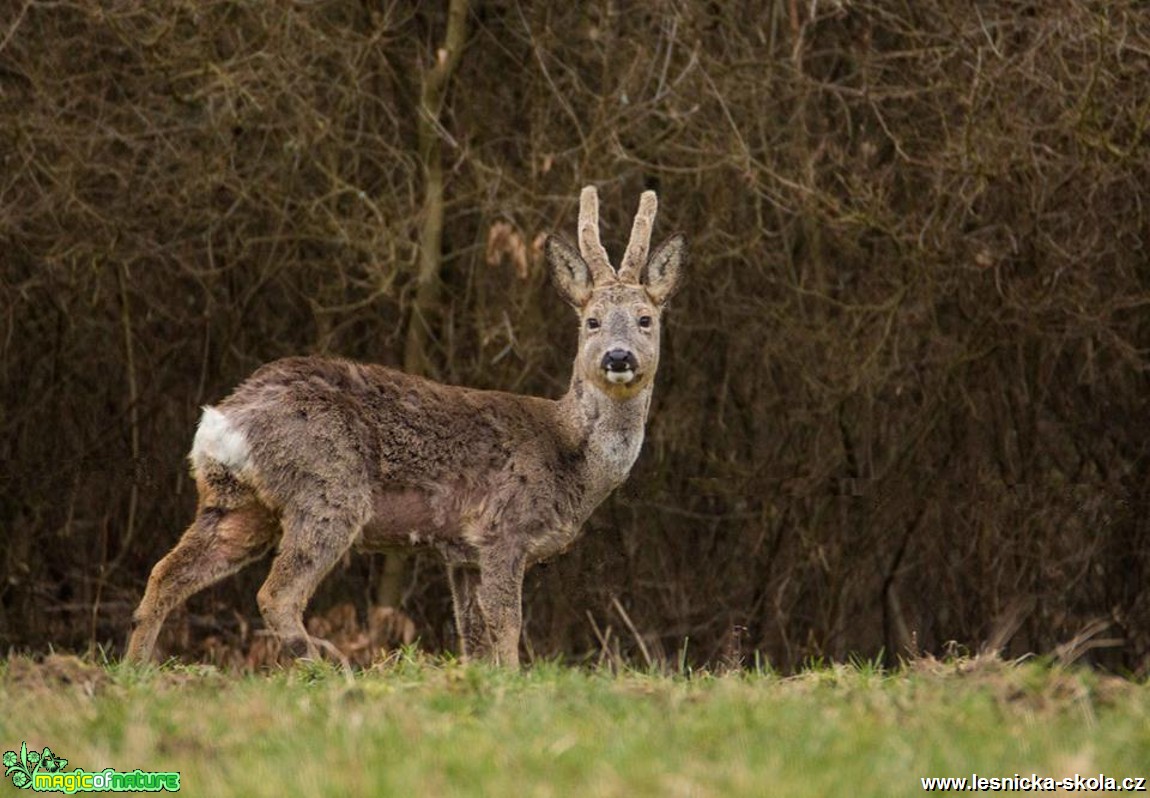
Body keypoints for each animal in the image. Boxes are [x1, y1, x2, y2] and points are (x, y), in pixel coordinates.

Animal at [125, 187, 680, 666]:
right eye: (590, 321)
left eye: (646, 318)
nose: (618, 357)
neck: (570, 455)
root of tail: (224, 419)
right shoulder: (504, 528)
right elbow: (506, 626)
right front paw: (516, 681)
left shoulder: (462, 552)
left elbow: (473, 636)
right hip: (328, 489)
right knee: (276, 594)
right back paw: (328, 666)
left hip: (238, 505)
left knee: (165, 574)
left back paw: (136, 671)